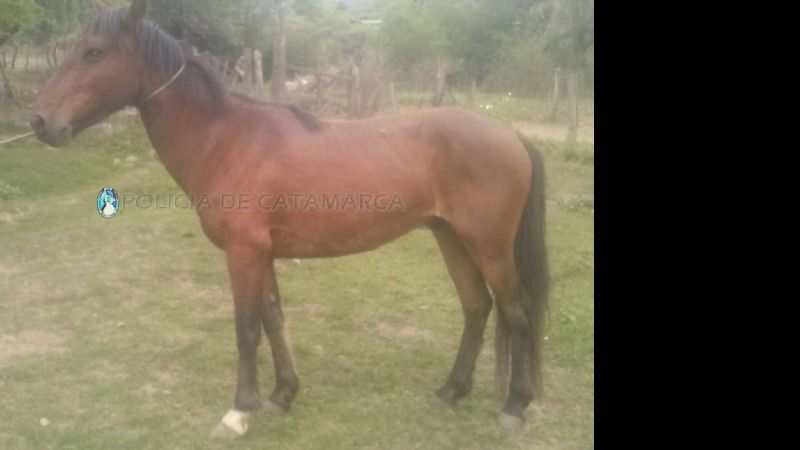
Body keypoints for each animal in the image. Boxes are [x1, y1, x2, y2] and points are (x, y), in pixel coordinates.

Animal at [31, 0, 549, 438]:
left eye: (93, 52)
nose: (40, 121)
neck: (226, 139)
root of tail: (510, 135)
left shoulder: (243, 253)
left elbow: (246, 329)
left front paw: (240, 411)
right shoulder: (263, 254)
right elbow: (274, 320)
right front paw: (282, 396)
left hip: (488, 246)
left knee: (517, 313)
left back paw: (514, 407)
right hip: (452, 238)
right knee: (477, 308)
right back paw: (451, 391)